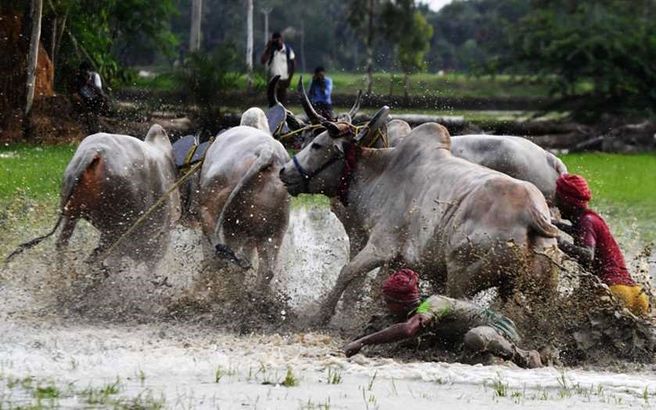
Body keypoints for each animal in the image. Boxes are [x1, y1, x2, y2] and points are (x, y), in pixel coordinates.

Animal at [280, 109, 560, 326]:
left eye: (317, 144)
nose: (284, 171)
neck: (380, 174)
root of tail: (531, 212)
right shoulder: (399, 261)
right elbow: (374, 286)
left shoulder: (381, 246)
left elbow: (347, 273)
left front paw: (321, 316)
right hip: (541, 288)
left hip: (462, 276)